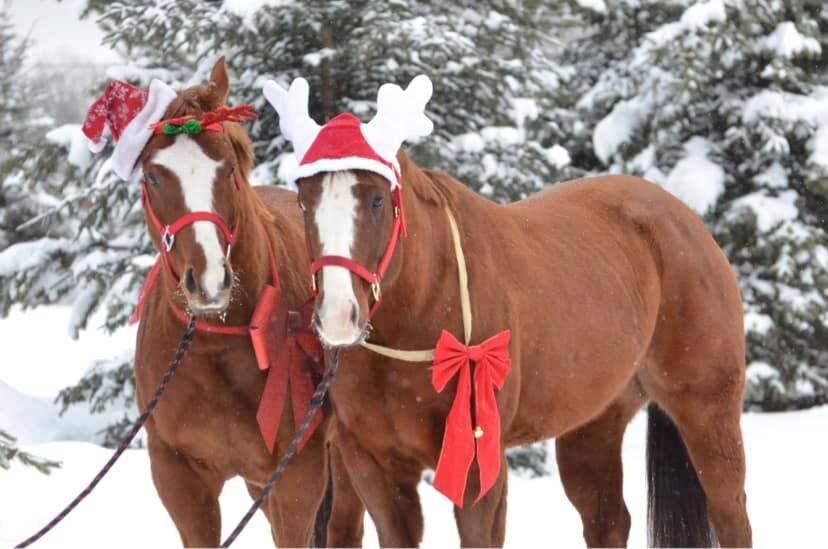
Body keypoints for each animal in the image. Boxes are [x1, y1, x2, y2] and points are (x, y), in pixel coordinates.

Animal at [132, 58, 362, 544]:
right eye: (154, 175)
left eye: (227, 167)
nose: (209, 281)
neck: (214, 346)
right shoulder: (180, 479)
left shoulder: (296, 477)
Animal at [294, 148, 752, 544]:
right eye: (303, 203)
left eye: (376, 200)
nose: (337, 316)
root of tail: (686, 218)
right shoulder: (372, 466)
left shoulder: (479, 465)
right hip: (594, 427)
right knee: (608, 520)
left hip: (707, 411)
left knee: (731, 515)